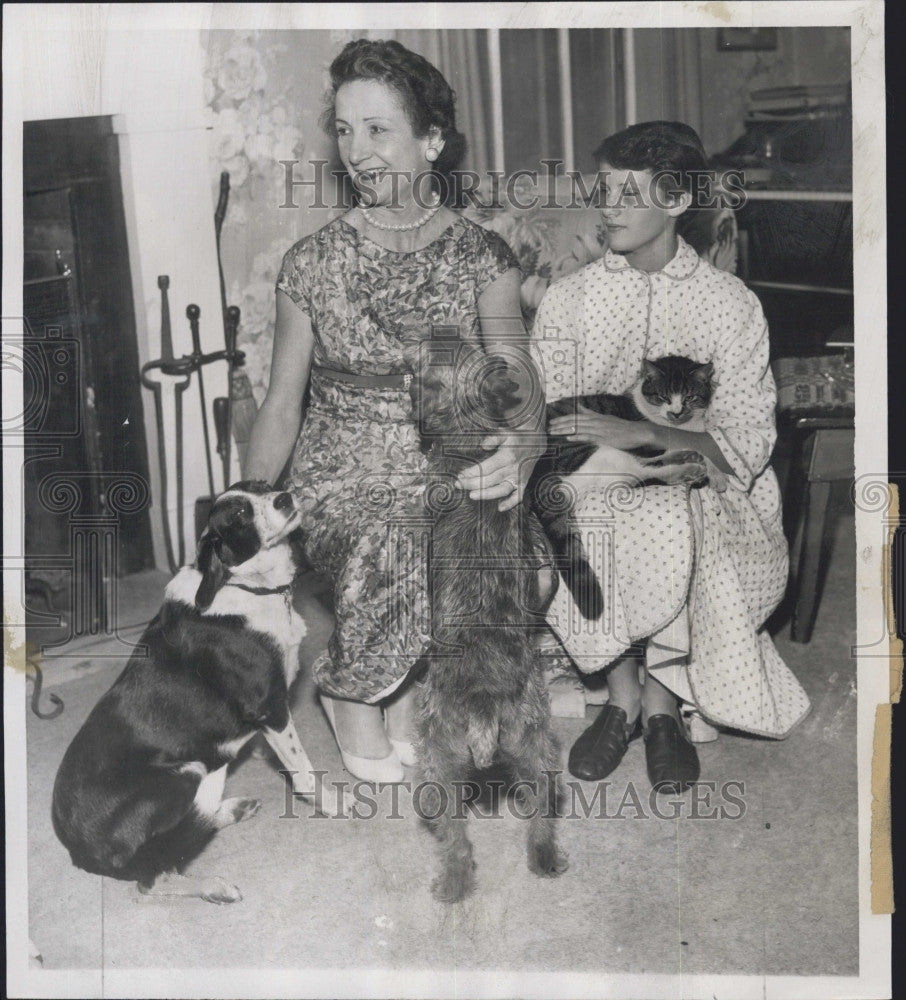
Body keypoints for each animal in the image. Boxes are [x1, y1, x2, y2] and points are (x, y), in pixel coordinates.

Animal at [52, 480, 346, 904]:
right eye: (239, 515)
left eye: (264, 487)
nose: (284, 497)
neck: (244, 585)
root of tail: (77, 850)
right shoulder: (269, 707)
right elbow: (302, 768)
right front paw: (333, 803)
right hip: (185, 772)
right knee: (151, 876)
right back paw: (214, 886)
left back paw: (229, 811)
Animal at [408, 336, 568, 908]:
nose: (436, 334)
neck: (474, 437)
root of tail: (483, 705)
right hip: (537, 745)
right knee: (541, 810)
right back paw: (544, 859)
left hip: (436, 763)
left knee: (455, 839)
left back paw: (452, 885)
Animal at [528, 352, 716, 620]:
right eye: (663, 397)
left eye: (690, 397)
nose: (677, 413)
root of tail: (534, 482)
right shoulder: (646, 445)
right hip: (598, 452)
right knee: (644, 471)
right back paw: (689, 468)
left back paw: (687, 458)